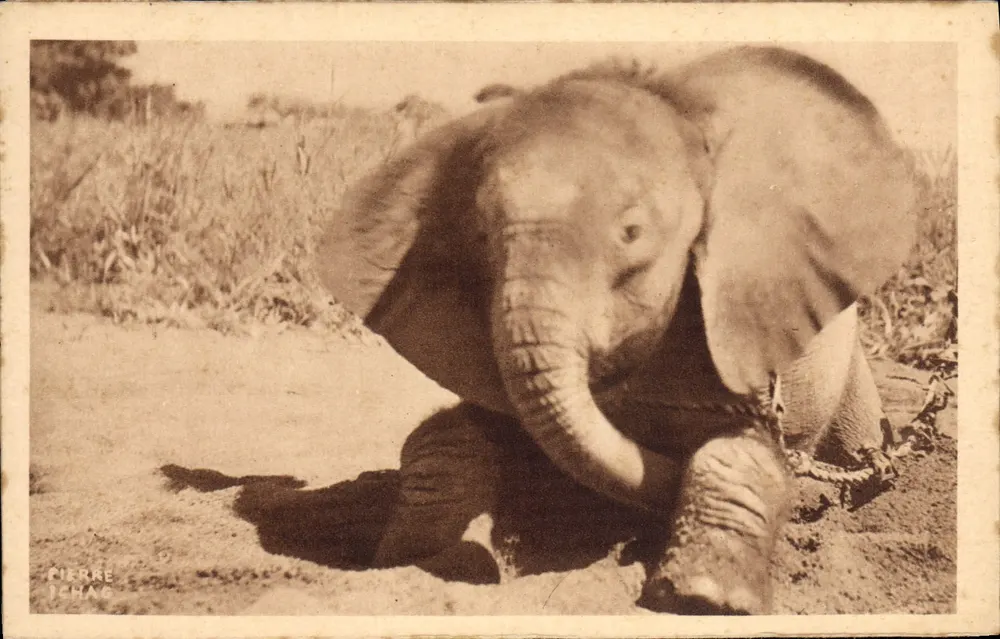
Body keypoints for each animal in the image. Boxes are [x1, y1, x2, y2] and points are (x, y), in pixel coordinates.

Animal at [316, 45, 917, 614]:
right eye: (482, 237)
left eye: (631, 233)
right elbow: (450, 435)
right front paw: (419, 563)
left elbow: (739, 448)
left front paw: (701, 599)